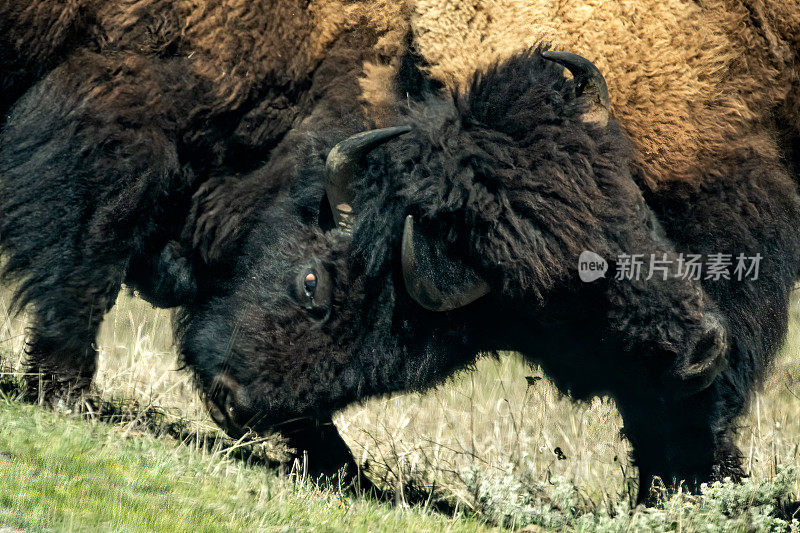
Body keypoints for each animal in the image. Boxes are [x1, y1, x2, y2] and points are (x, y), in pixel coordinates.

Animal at [1, 0, 800, 500]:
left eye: (433, 343)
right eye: (312, 283)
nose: (233, 400)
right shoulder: (129, 99)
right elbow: (93, 240)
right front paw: (65, 387)